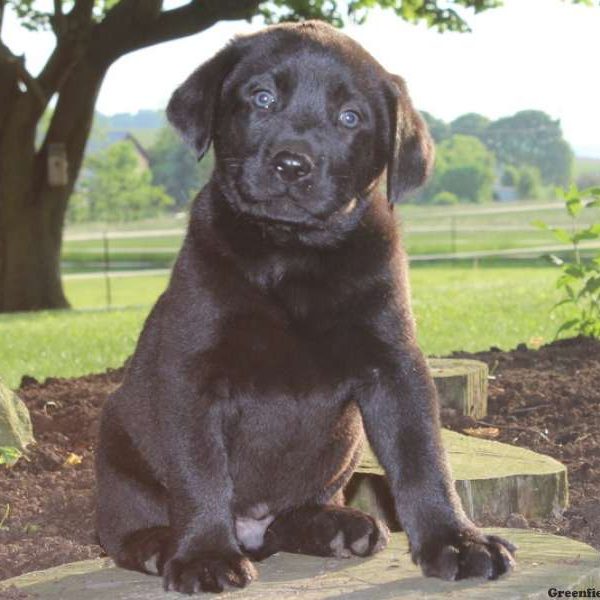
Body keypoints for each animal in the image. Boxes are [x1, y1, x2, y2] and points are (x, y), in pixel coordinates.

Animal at [95, 19, 516, 596]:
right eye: (262, 98)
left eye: (350, 117)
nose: (292, 164)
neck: (293, 254)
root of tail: (253, 529)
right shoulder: (192, 371)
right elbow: (200, 471)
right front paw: (204, 554)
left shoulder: (395, 365)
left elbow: (423, 456)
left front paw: (456, 540)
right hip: (115, 445)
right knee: (124, 530)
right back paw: (160, 546)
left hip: (341, 452)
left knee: (294, 516)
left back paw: (338, 527)